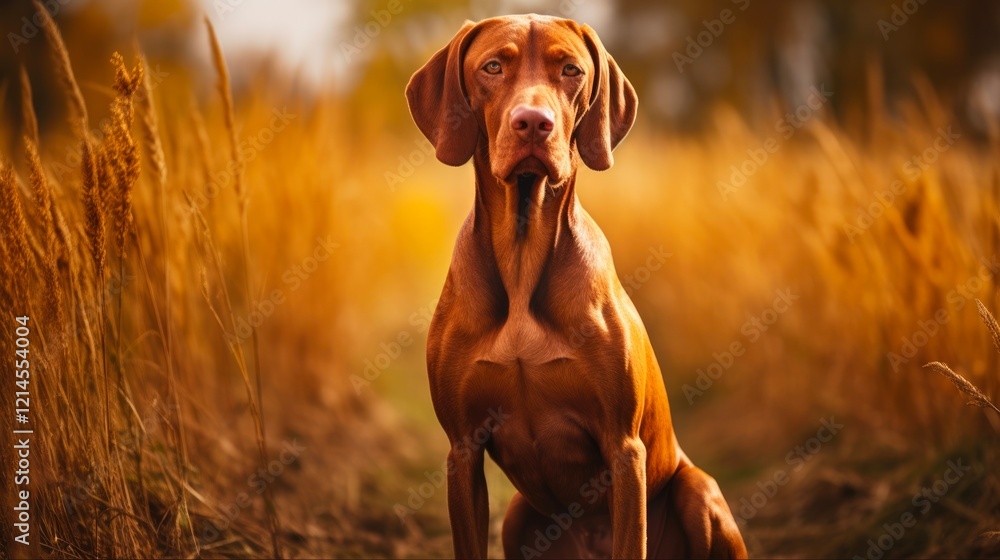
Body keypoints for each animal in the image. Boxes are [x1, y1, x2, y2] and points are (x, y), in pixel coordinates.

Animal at [404, 14, 744, 560]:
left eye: (571, 70)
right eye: (493, 66)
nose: (533, 123)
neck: (522, 257)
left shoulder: (624, 450)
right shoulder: (462, 448)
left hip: (698, 488)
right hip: (517, 515)